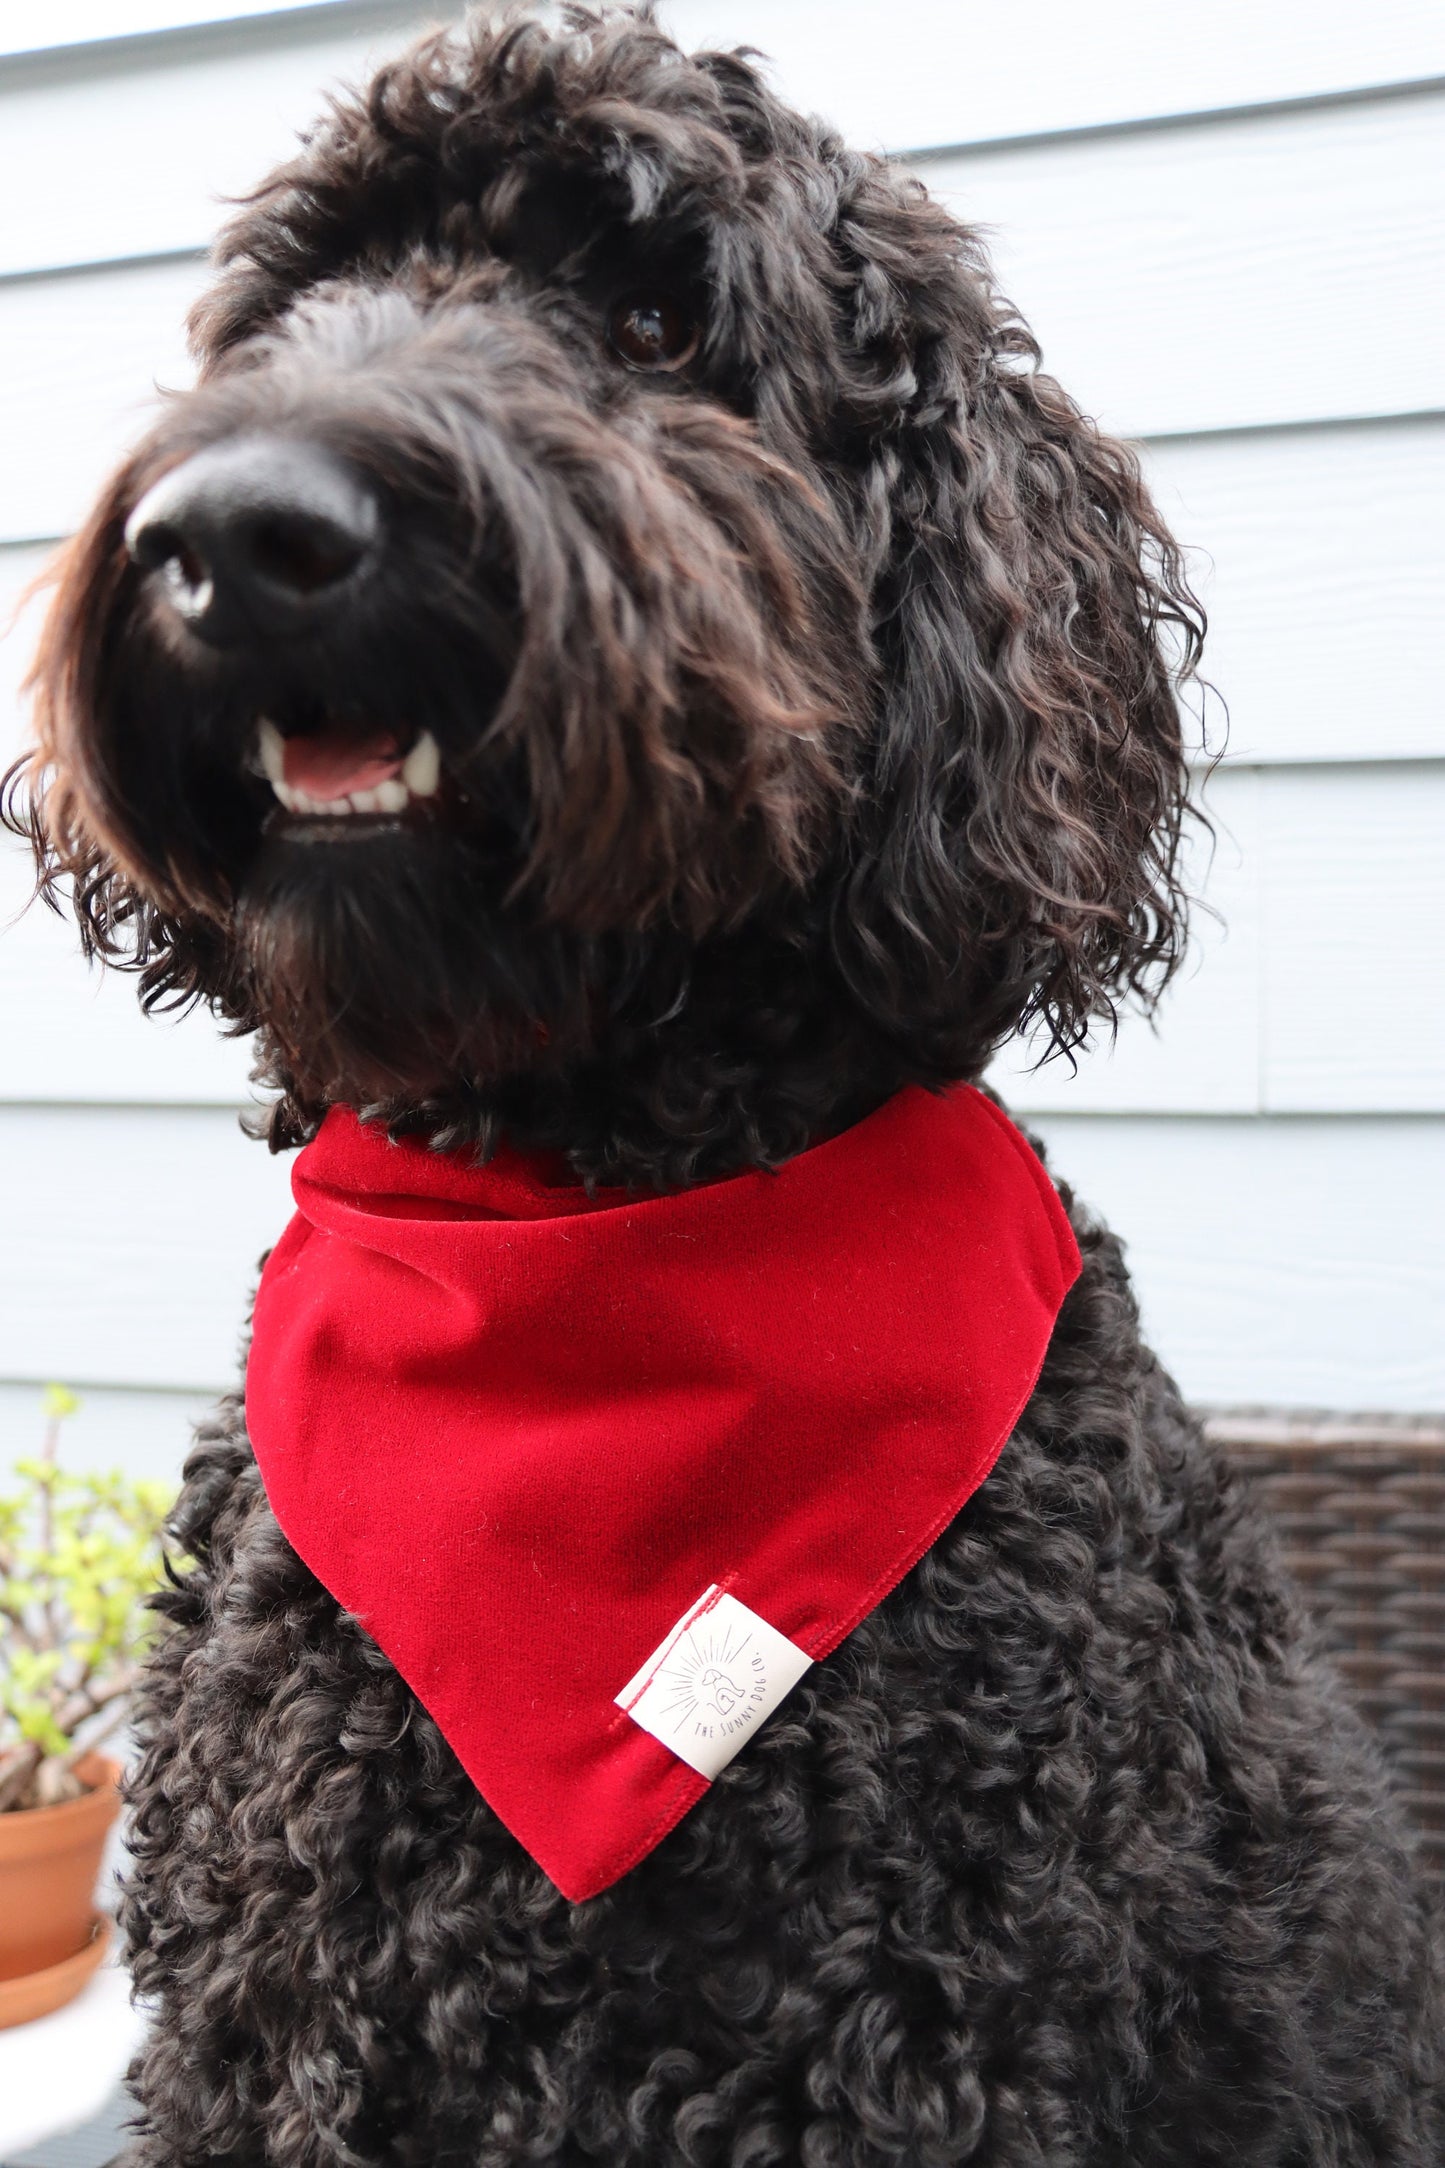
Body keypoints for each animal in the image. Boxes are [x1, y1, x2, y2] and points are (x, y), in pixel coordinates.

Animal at [8, 8, 1438, 2159]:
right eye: (291, 304)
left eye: (654, 317)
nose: (238, 533)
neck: (579, 1208)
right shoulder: (257, 2029)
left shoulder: (905, 2048)